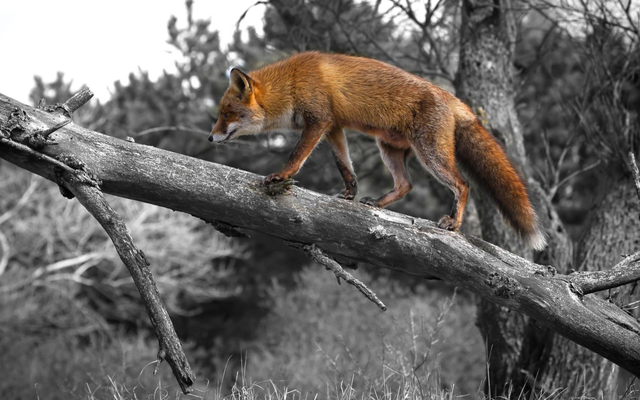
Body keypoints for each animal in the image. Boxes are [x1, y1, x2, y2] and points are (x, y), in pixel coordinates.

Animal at [209, 51, 544, 248]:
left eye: (226, 114)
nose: (210, 138)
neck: (291, 83)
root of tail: (452, 98)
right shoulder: (334, 127)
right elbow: (345, 166)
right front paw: (350, 194)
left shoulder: (318, 121)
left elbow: (296, 156)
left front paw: (282, 176)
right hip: (389, 149)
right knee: (406, 184)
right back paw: (378, 204)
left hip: (431, 155)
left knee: (462, 184)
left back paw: (453, 223)